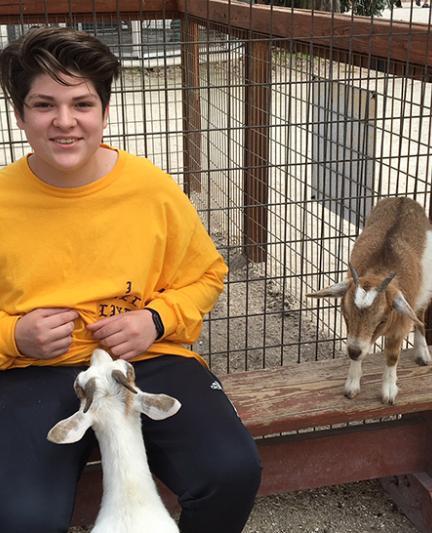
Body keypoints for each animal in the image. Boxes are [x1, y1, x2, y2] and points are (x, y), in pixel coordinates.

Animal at [306, 196, 432, 404]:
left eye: (382, 321)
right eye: (346, 316)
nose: (353, 351)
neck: (379, 272)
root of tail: (403, 198)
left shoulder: (400, 326)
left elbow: (392, 356)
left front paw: (389, 392)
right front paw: (352, 385)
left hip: (424, 290)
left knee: (420, 315)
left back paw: (423, 354)